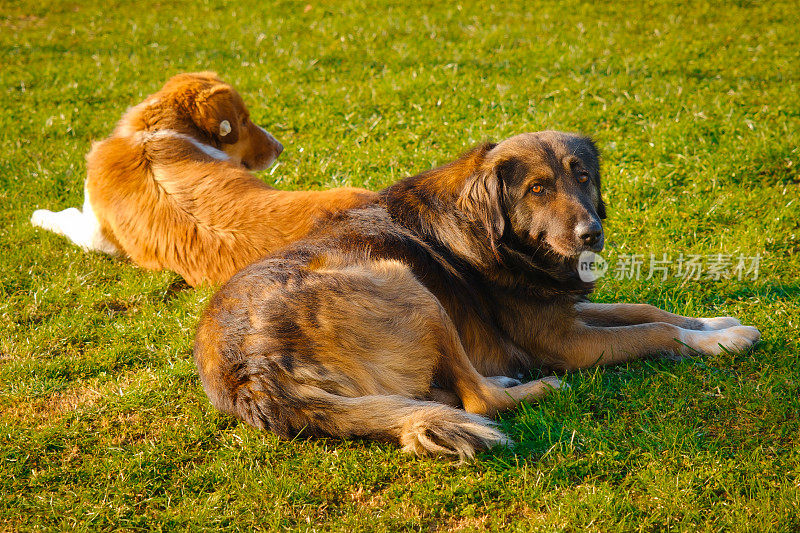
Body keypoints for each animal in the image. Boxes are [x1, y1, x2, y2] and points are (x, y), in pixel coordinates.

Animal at [31, 74, 378, 286]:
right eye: (244, 120)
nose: (280, 148)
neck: (156, 130)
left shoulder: (96, 237)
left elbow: (63, 218)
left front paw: (38, 216)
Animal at [191, 132, 760, 458]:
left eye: (582, 176)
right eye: (537, 189)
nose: (591, 233)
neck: (495, 234)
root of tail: (250, 369)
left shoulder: (566, 312)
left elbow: (646, 309)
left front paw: (715, 326)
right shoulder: (564, 342)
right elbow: (653, 329)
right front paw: (718, 342)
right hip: (408, 284)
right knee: (482, 401)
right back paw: (538, 387)